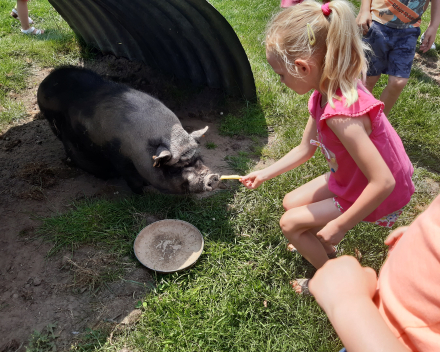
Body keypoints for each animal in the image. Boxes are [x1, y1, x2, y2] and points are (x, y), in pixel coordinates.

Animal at [37, 66, 219, 192]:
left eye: (199, 157)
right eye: (175, 168)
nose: (213, 177)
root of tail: (45, 82)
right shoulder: (118, 156)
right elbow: (132, 180)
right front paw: (141, 191)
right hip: (56, 125)